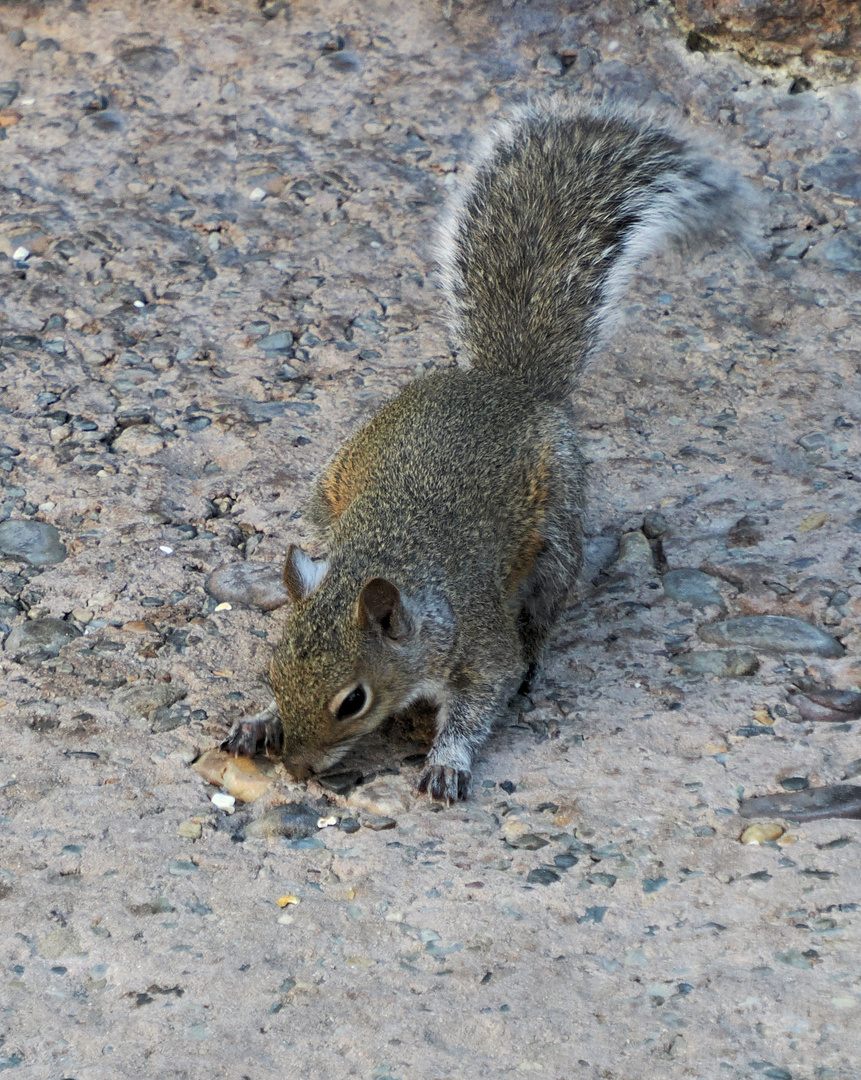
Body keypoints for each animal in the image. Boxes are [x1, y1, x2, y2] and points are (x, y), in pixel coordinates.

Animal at [224, 101, 743, 807]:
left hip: (556, 533)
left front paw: (447, 763)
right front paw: (259, 720)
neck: (385, 561)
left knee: (544, 611)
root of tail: (504, 384)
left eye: (353, 701)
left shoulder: (479, 644)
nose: (299, 770)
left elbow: (479, 702)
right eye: (273, 670)